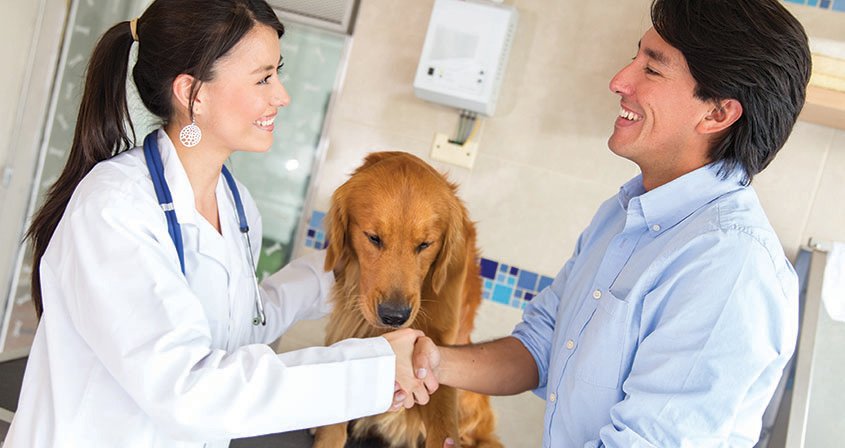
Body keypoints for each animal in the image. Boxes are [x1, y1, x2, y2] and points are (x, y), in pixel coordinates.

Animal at [314, 151, 502, 448]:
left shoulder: (438, 348)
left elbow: (444, 425)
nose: (394, 316)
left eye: (425, 244)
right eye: (374, 238)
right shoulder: (348, 320)